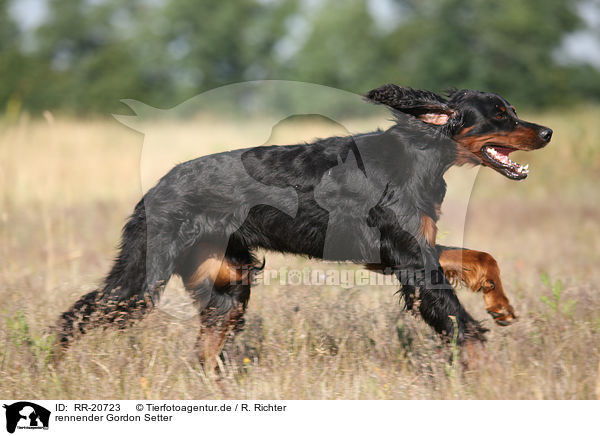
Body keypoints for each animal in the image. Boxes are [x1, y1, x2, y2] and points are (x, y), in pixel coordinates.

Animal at [56, 83, 552, 366]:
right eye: (500, 114)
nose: (547, 132)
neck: (418, 152)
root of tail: (155, 188)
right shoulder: (411, 260)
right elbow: (460, 323)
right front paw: (486, 372)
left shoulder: (412, 250)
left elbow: (482, 258)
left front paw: (501, 305)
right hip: (141, 280)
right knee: (76, 315)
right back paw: (53, 364)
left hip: (228, 280)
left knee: (204, 352)